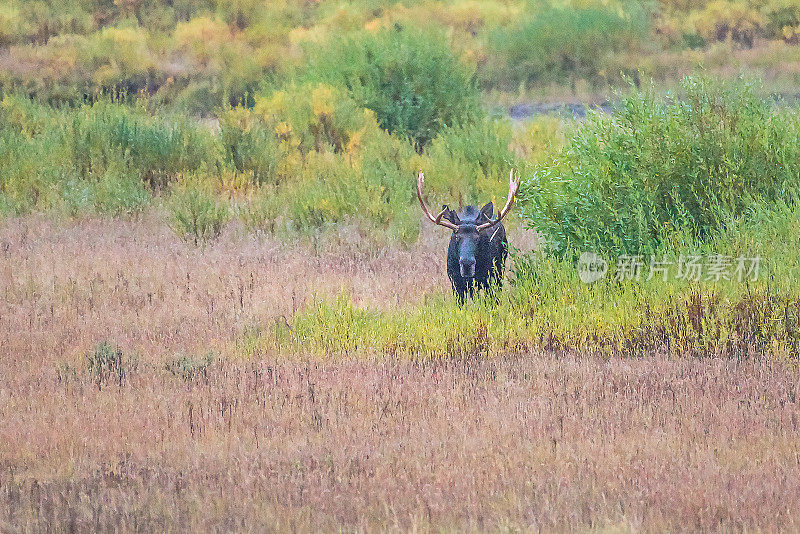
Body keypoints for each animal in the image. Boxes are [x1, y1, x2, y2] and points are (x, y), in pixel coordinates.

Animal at [416, 173, 520, 304]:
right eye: (456, 237)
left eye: (477, 238)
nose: (467, 263)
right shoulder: (456, 284)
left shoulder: (490, 279)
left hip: (499, 271)